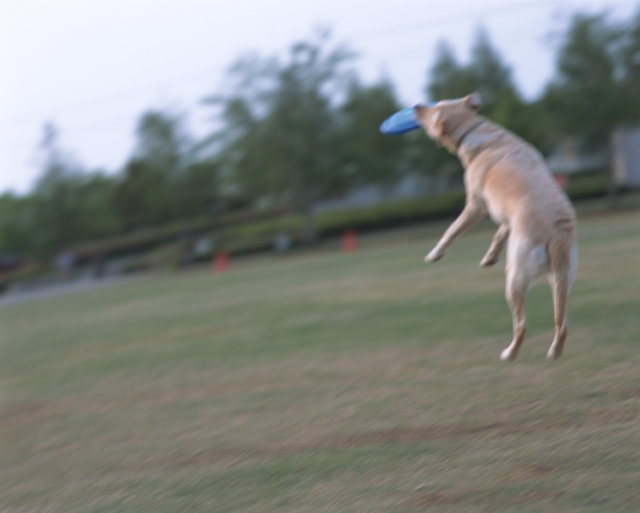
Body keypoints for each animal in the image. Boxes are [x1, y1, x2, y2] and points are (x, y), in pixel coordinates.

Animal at [418, 94, 576, 362]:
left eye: (434, 110)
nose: (416, 106)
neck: (473, 129)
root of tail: (557, 234)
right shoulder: (506, 218)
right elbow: (501, 233)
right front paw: (489, 257)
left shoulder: (476, 204)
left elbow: (452, 230)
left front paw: (434, 254)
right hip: (561, 278)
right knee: (562, 322)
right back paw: (554, 352)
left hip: (514, 278)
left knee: (522, 324)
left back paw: (510, 353)